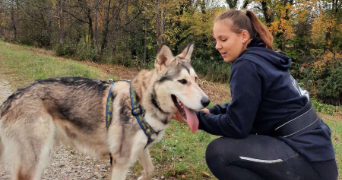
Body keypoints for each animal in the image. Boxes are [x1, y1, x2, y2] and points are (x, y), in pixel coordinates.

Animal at [0, 44, 208, 180]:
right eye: (183, 81)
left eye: (196, 79)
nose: (207, 101)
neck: (143, 104)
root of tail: (12, 98)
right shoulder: (120, 161)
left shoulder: (140, 149)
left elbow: (150, 170)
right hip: (35, 161)